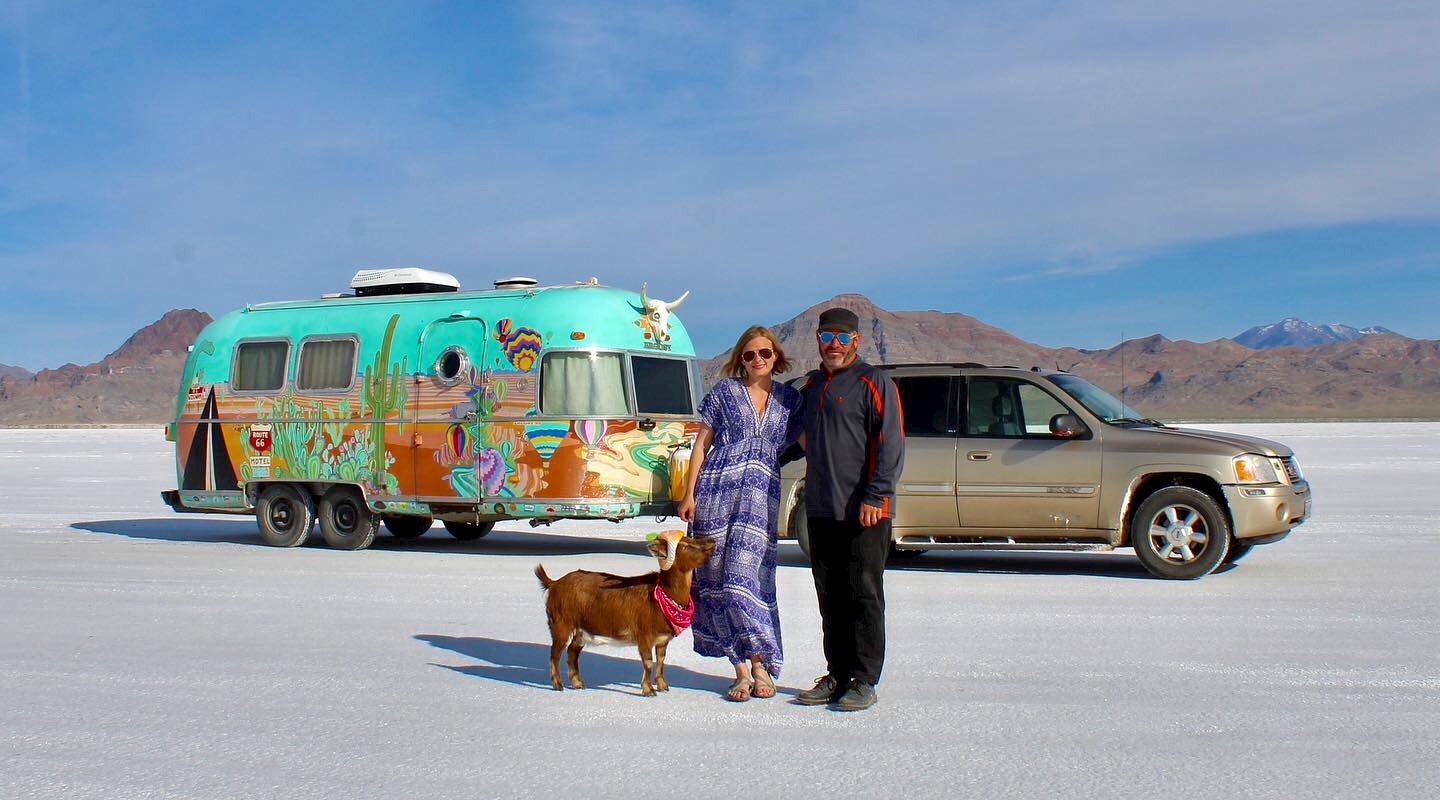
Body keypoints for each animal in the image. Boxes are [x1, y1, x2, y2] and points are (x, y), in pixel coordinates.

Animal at [535, 532, 714, 693]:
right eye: (684, 545)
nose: (711, 540)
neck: (664, 596)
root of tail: (554, 583)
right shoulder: (644, 635)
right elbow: (648, 662)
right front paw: (648, 690)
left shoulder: (663, 639)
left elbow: (661, 661)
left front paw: (663, 686)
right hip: (561, 623)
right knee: (555, 653)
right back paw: (558, 685)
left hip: (580, 631)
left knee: (572, 652)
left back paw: (578, 683)